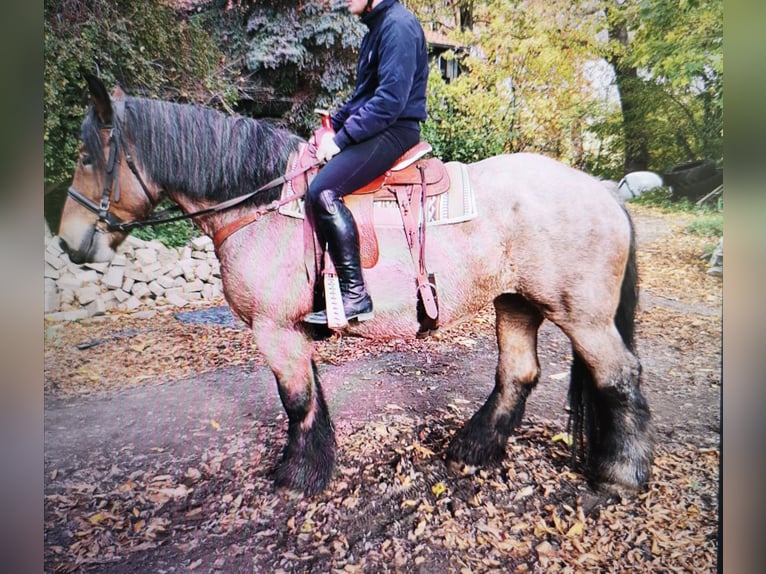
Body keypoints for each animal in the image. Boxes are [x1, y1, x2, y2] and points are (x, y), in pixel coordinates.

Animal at [58, 75, 653, 497]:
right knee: (519, 374)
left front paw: (297, 476)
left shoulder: (274, 331)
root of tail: (600, 189)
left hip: (583, 318)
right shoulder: (290, 333)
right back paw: (473, 448)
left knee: (618, 377)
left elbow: (297, 401)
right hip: (517, 302)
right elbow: (311, 398)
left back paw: (620, 473)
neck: (262, 202)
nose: (68, 242)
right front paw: (314, 465)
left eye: (86, 157)